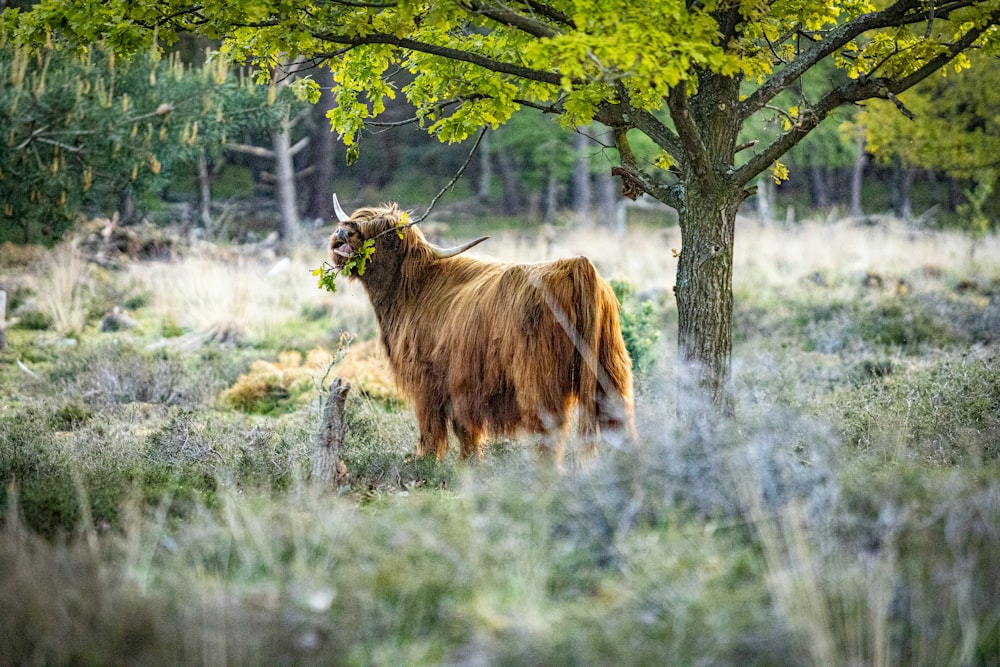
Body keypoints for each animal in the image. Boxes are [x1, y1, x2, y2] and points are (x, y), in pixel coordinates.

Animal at [332, 194, 636, 464]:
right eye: (357, 218)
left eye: (387, 235)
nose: (343, 232)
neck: (412, 289)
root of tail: (575, 266)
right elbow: (465, 431)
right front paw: (469, 464)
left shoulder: (428, 381)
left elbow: (432, 428)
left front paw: (426, 462)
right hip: (610, 371)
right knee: (619, 422)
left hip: (537, 381)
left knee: (548, 432)